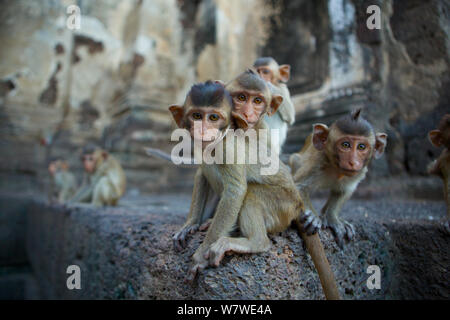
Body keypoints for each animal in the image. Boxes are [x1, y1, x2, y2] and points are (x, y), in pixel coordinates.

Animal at [171, 73, 340, 300]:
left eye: (213, 118)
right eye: (197, 116)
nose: (204, 129)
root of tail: (297, 204)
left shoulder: (228, 149)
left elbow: (236, 191)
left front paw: (200, 256)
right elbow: (201, 175)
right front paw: (190, 224)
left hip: (283, 206)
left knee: (250, 194)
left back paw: (254, 242)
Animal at [290, 109, 388, 248]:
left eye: (361, 147)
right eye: (345, 145)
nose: (353, 162)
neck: (336, 169)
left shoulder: (359, 172)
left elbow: (342, 192)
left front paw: (333, 219)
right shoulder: (317, 162)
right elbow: (299, 187)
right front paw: (313, 217)